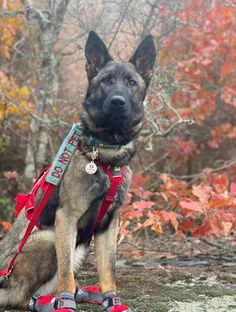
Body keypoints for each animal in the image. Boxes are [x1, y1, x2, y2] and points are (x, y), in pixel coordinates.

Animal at [0, 31, 156, 310]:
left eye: (131, 82)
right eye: (106, 81)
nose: (117, 102)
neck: (105, 151)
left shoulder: (108, 224)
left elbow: (109, 269)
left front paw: (111, 299)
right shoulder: (67, 218)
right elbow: (65, 273)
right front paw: (66, 301)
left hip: (81, 246)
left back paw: (76, 293)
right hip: (50, 239)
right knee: (25, 297)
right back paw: (53, 301)